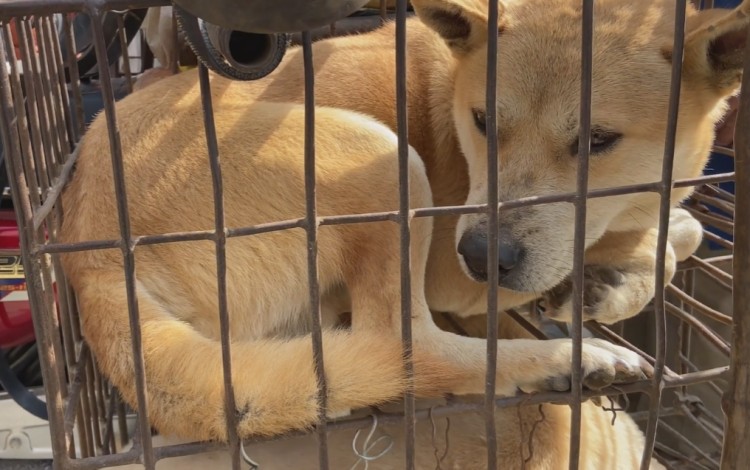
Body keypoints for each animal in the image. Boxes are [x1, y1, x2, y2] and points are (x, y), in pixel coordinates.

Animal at [60, 0, 750, 464]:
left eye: (600, 140)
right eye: (481, 121)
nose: (481, 254)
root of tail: (92, 262)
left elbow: (677, 225)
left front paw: (609, 279)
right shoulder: (455, 272)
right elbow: (677, 231)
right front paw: (615, 270)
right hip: (381, 157)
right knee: (405, 344)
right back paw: (565, 360)